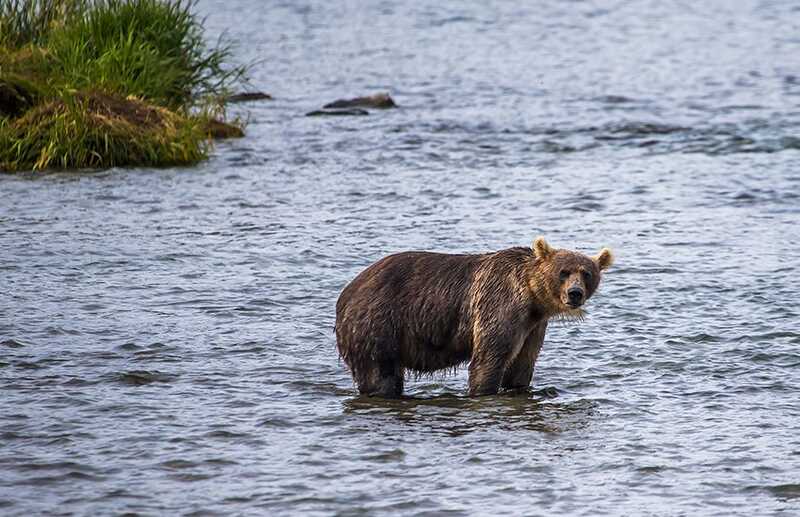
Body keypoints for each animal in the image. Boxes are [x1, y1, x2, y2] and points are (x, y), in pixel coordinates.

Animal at [332, 236, 612, 398]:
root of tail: (346, 292)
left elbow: (522, 364)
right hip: (377, 323)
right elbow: (490, 358)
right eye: (563, 272)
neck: (532, 296)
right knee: (380, 374)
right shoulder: (499, 304)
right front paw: (483, 390)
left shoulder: (533, 326)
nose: (575, 293)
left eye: (586, 273)